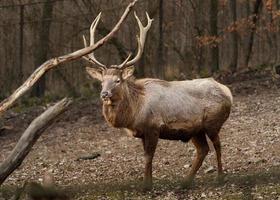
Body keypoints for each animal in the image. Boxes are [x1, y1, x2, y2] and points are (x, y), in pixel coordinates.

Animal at [84, 11, 233, 188]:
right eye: (101, 82)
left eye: (117, 80)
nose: (104, 94)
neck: (134, 113)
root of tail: (227, 92)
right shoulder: (143, 132)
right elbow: (146, 157)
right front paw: (148, 183)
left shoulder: (153, 127)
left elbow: (149, 157)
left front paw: (146, 186)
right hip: (196, 130)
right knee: (203, 149)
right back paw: (185, 181)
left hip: (212, 123)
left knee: (217, 145)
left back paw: (220, 177)